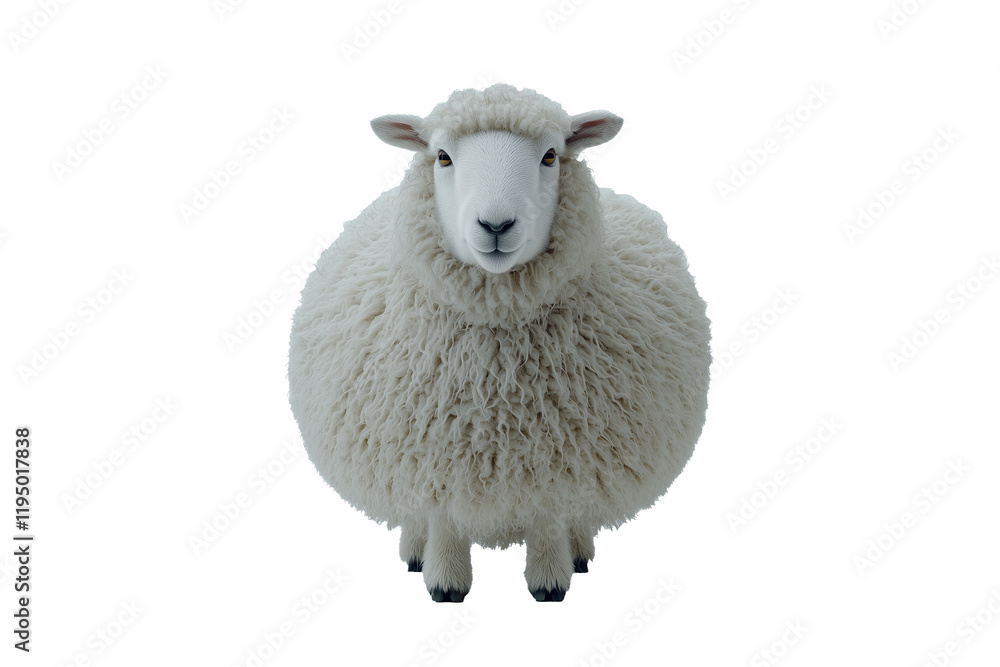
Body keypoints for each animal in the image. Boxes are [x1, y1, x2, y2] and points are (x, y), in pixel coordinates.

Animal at [288, 84, 711, 602]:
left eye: (551, 155)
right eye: (442, 156)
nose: (495, 225)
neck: (497, 375)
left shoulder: (558, 464)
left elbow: (549, 519)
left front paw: (550, 580)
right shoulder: (435, 462)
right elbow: (444, 520)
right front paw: (445, 580)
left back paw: (579, 551)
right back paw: (414, 550)